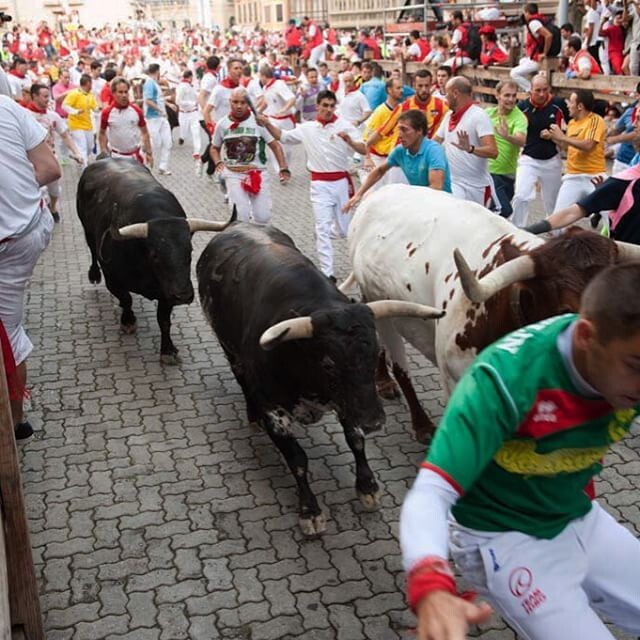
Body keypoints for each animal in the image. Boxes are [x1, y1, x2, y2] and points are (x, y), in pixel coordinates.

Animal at [196, 221, 444, 536]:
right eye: (328, 364)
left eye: (375, 352)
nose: (374, 421)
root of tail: (237, 224)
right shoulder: (273, 409)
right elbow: (297, 459)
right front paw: (310, 510)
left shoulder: (348, 401)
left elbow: (356, 440)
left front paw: (367, 487)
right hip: (229, 351)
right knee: (241, 381)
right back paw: (251, 415)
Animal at [344, 185, 640, 442]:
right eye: (566, 311)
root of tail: (379, 193)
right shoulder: (452, 379)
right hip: (377, 298)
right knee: (399, 363)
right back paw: (421, 423)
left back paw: (382, 380)